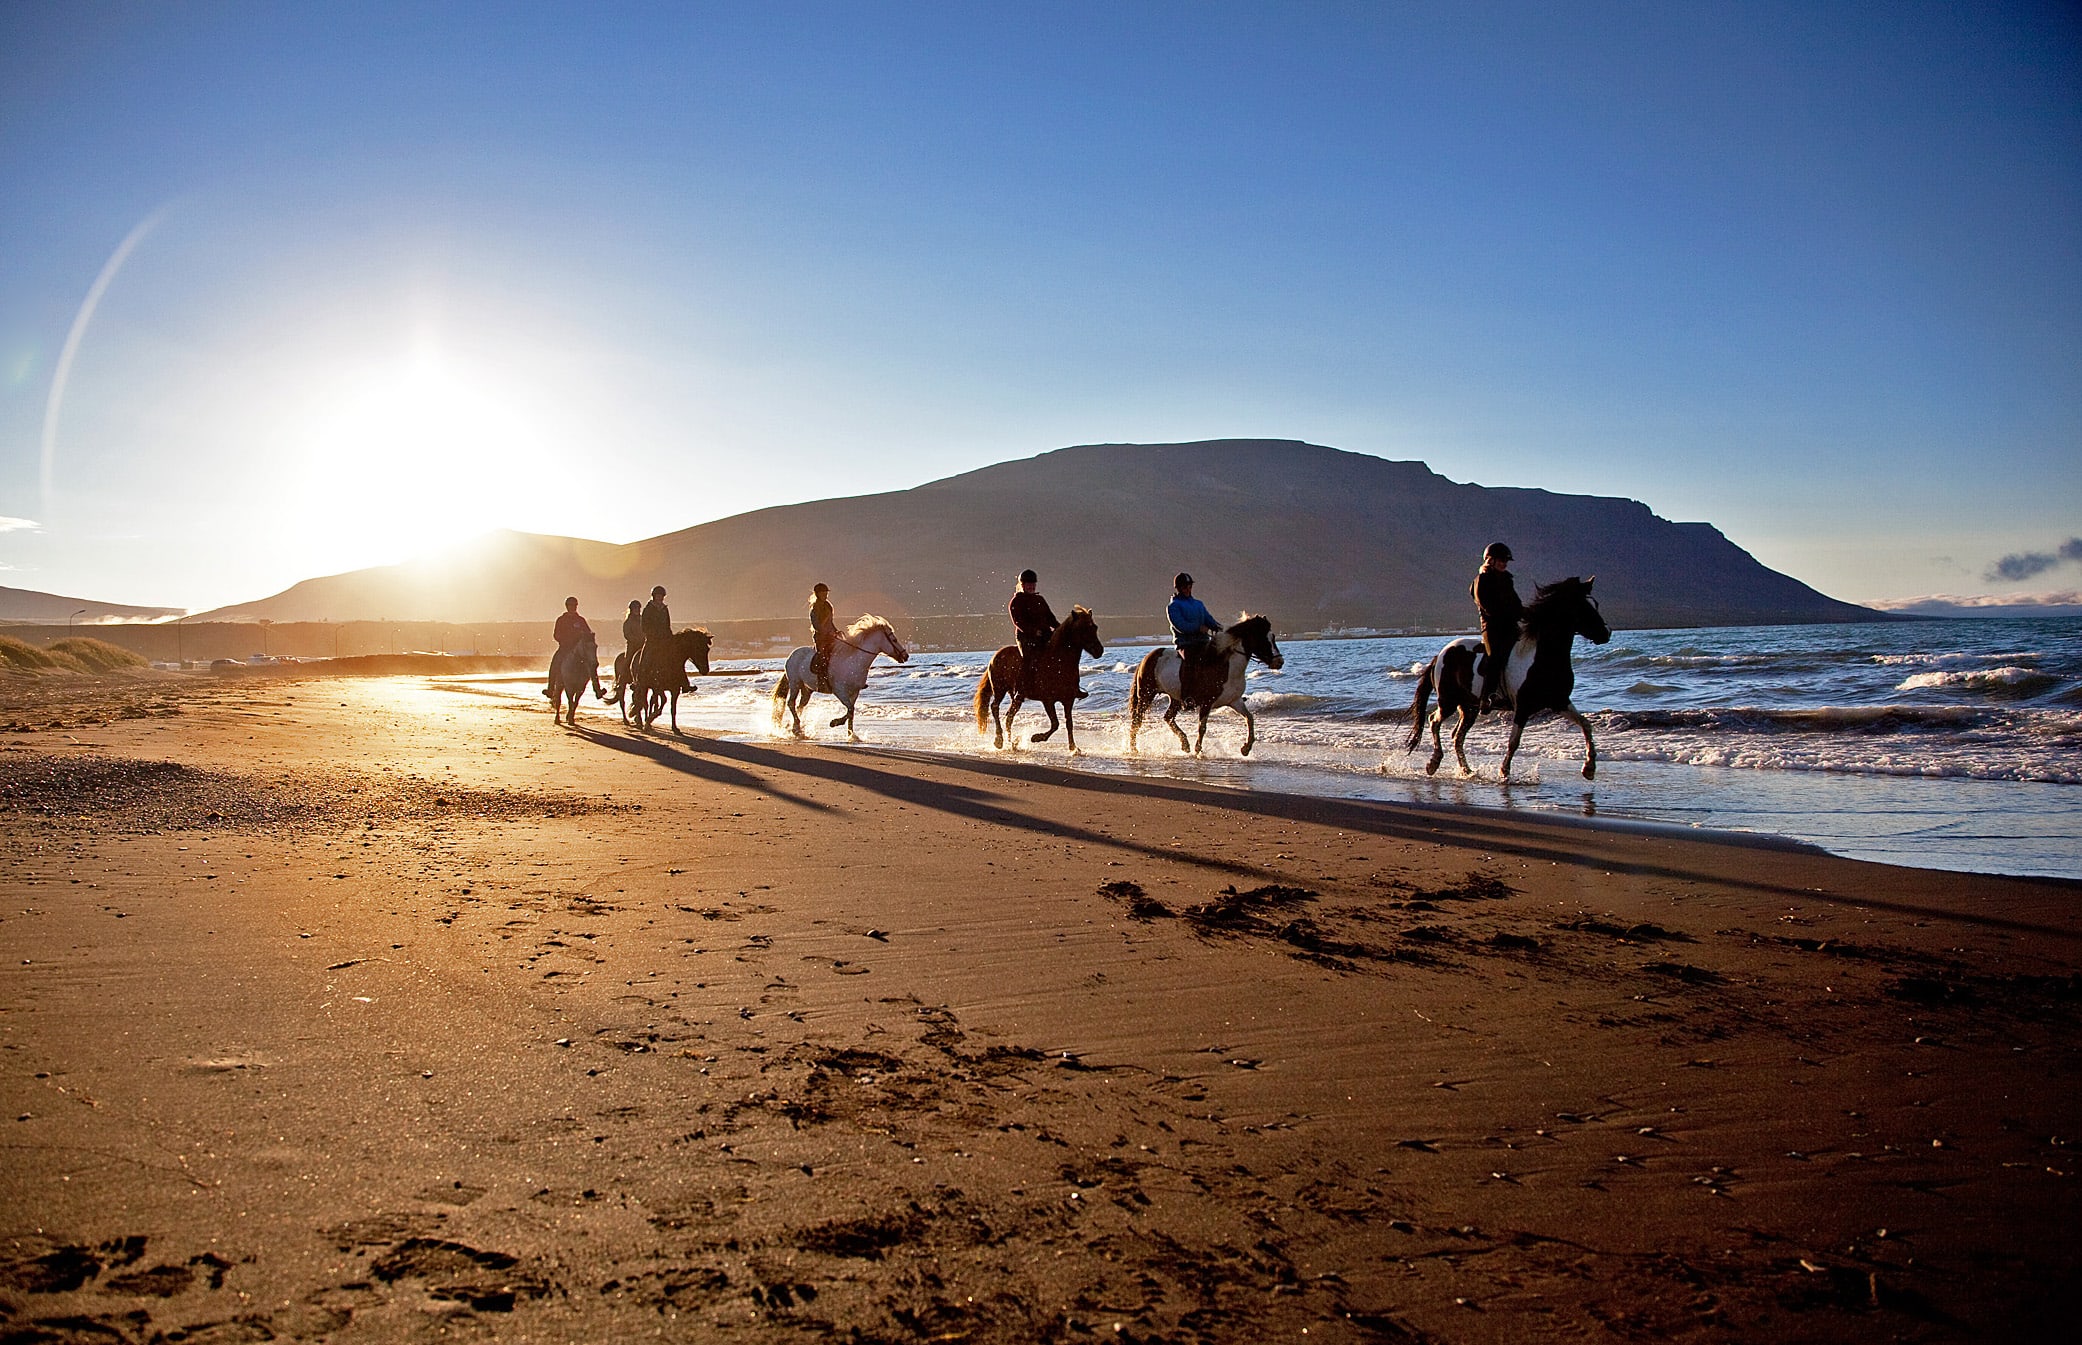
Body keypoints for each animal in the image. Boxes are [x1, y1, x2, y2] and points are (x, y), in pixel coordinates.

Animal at [774, 620, 911, 741]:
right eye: (894, 639)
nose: (906, 656)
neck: (854, 661)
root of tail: (791, 656)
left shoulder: (855, 692)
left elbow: (851, 712)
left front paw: (851, 735)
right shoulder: (840, 691)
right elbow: (850, 709)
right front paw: (835, 723)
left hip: (807, 689)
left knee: (800, 705)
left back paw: (795, 728)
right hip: (795, 683)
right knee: (791, 703)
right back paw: (796, 727)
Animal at [974, 607, 1107, 753]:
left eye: (1094, 627)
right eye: (1083, 628)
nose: (1099, 651)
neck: (1058, 661)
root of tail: (996, 656)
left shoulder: (1068, 700)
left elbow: (1069, 723)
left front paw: (1073, 748)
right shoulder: (1048, 700)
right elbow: (1055, 723)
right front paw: (1037, 738)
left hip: (1016, 697)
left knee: (1009, 717)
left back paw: (1012, 743)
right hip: (999, 689)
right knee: (995, 707)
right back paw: (999, 741)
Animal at [1132, 620, 1274, 757]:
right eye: (1264, 639)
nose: (1278, 661)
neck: (1228, 667)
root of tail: (1146, 658)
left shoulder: (1235, 701)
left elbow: (1249, 718)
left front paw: (1246, 748)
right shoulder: (1207, 703)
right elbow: (1202, 727)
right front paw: (1198, 750)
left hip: (1175, 698)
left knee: (1168, 717)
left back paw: (1185, 744)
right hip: (1146, 695)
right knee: (1137, 720)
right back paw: (1133, 749)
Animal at [1407, 578, 1615, 787]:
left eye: (1595, 604)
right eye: (1584, 607)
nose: (1606, 633)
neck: (1543, 658)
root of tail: (1441, 655)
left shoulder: (1559, 702)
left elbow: (1585, 724)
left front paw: (1589, 768)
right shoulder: (1523, 707)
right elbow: (1514, 741)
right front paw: (1504, 772)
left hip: (1469, 707)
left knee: (1457, 737)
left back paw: (1466, 771)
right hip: (1448, 701)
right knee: (1434, 721)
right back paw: (1433, 763)